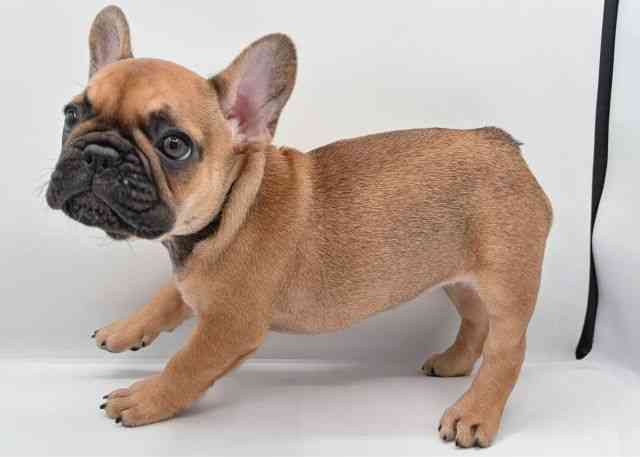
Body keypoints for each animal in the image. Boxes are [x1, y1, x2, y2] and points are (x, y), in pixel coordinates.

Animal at [46, 5, 552, 448]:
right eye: (71, 115)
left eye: (174, 144)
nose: (98, 154)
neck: (228, 213)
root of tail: (502, 145)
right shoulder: (192, 280)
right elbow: (169, 296)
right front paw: (126, 329)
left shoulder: (229, 327)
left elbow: (186, 365)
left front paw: (146, 398)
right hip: (455, 276)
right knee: (475, 319)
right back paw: (454, 363)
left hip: (508, 282)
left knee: (507, 347)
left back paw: (476, 412)